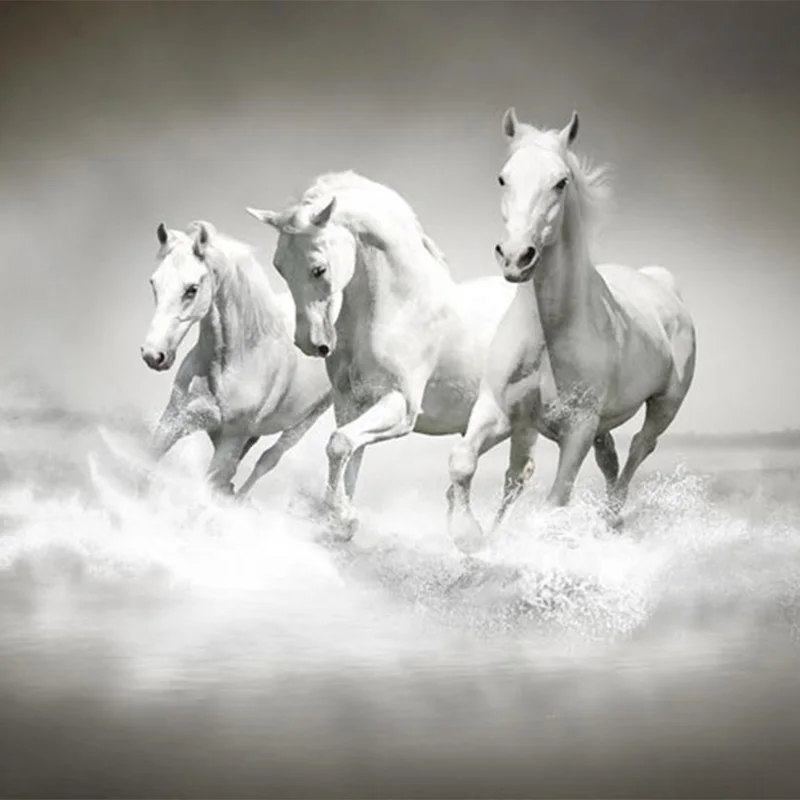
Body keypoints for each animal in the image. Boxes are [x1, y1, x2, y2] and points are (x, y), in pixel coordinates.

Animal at [140, 220, 332, 497]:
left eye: (192, 290)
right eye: (154, 283)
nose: (153, 355)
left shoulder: (231, 439)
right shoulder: (173, 420)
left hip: (306, 420)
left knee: (268, 460)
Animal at [245, 171, 518, 542]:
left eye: (318, 269)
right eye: (279, 267)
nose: (310, 343)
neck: (400, 307)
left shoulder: (401, 406)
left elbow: (339, 445)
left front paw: (343, 517)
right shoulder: (351, 405)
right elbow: (349, 455)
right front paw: (342, 520)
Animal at [446, 109, 697, 551]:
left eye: (560, 182)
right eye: (503, 178)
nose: (516, 257)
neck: (549, 332)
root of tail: (662, 284)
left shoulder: (577, 428)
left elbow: (556, 500)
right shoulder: (499, 410)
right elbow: (465, 462)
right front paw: (470, 536)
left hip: (665, 404)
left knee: (639, 448)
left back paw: (612, 519)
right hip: (599, 424)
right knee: (606, 457)